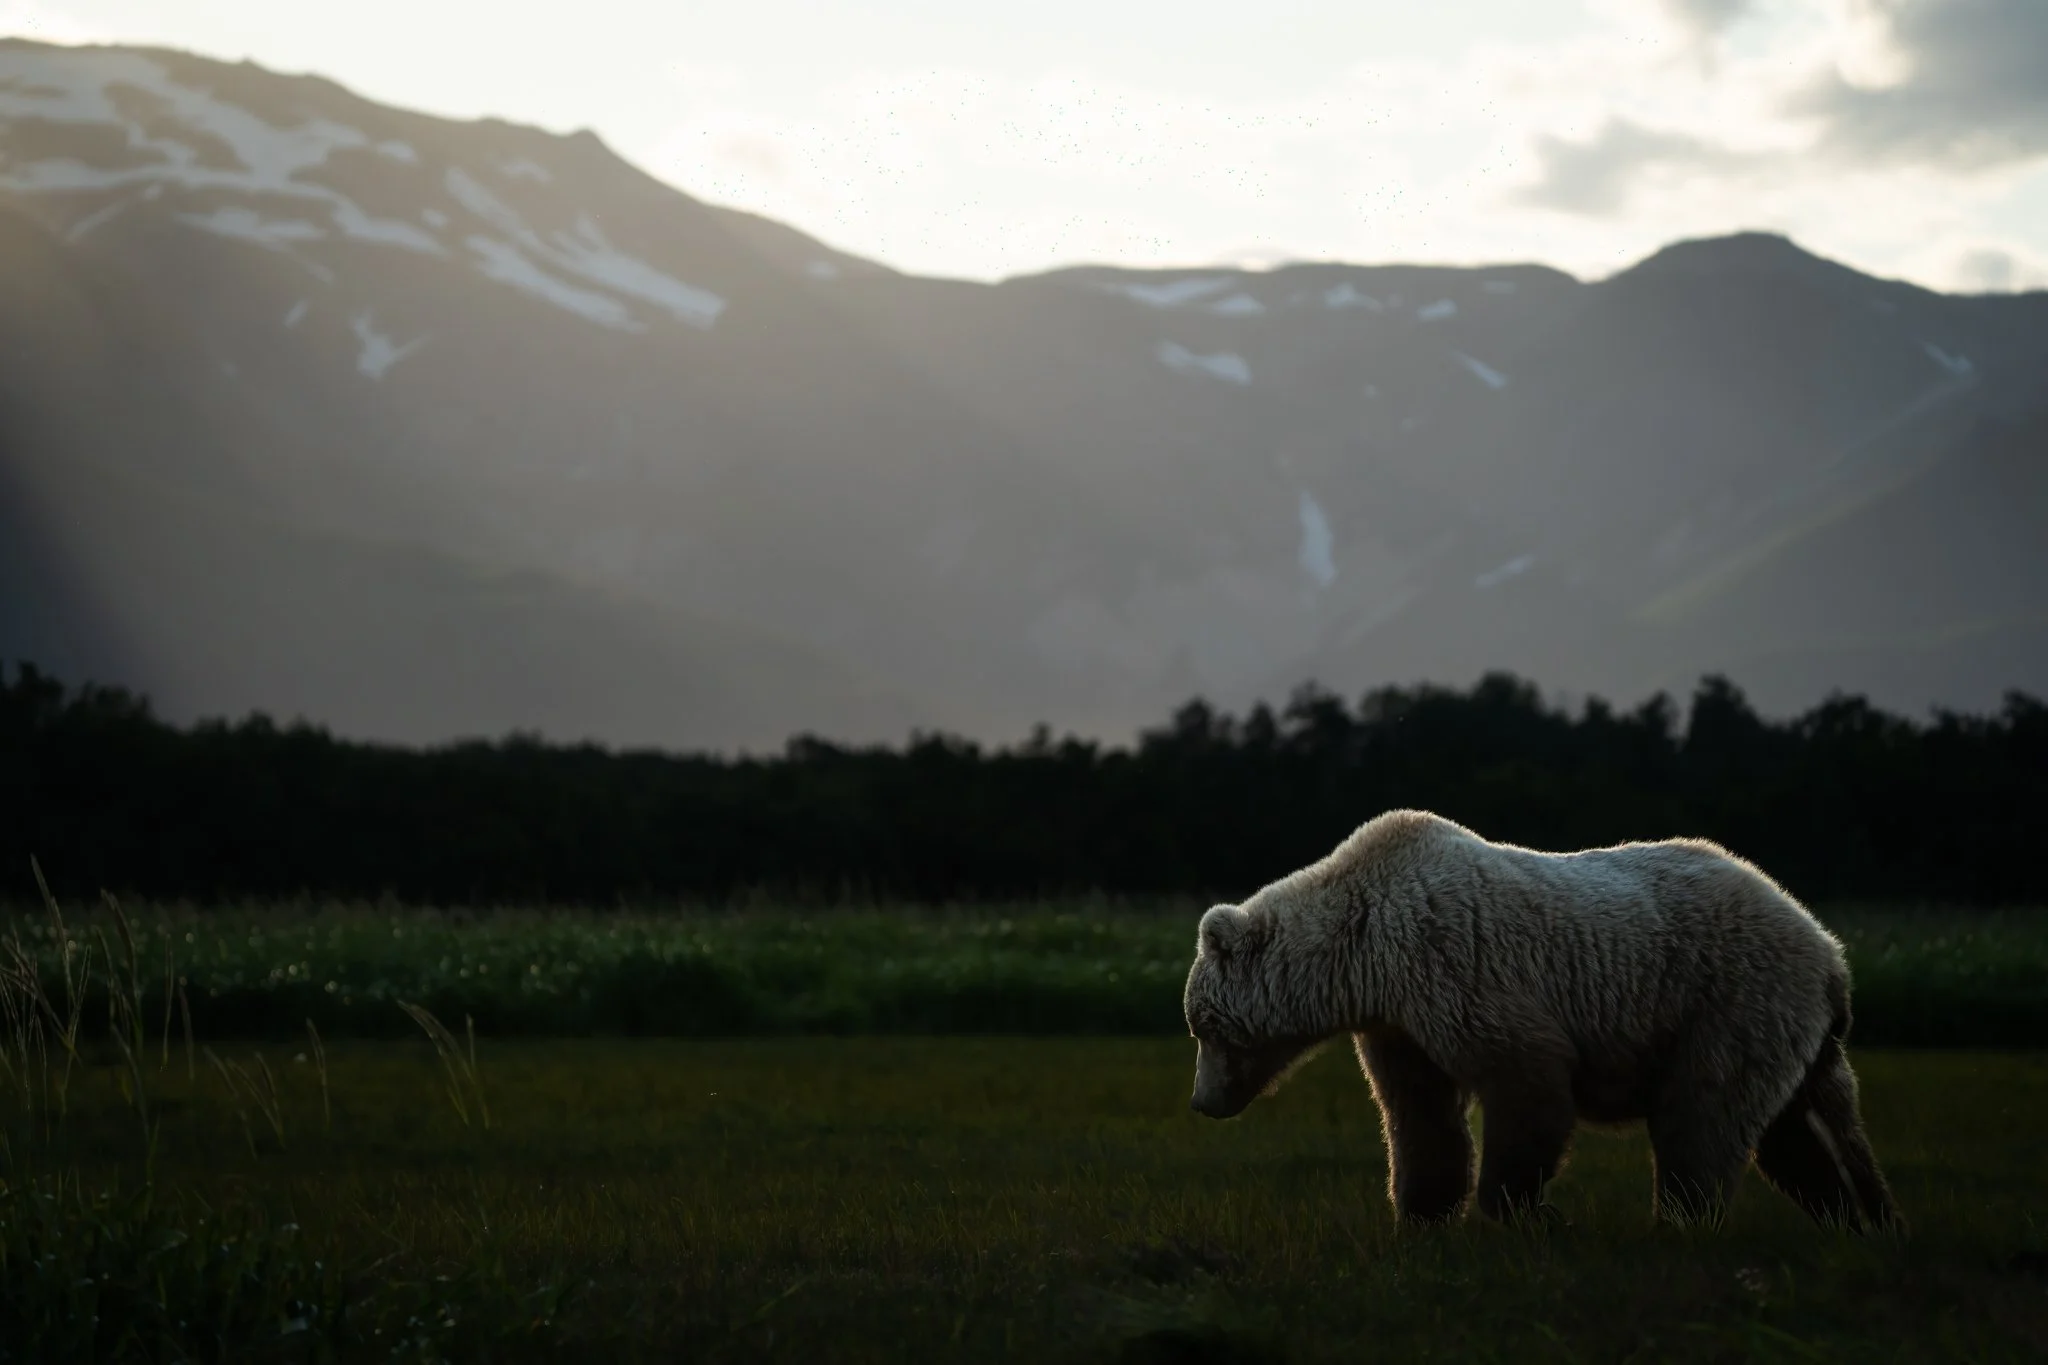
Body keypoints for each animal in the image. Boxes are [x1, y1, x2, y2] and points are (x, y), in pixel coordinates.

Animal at [1182, 808, 1901, 1231]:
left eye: (1204, 1027)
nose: (1200, 1101)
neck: (1363, 957)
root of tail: (1830, 950)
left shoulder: (1457, 967)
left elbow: (1526, 1081)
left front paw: (1514, 1208)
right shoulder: (1401, 1027)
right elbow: (1420, 1117)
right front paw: (1421, 1213)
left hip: (1725, 998)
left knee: (1703, 1117)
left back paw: (1679, 1221)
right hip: (1789, 1033)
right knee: (1800, 1131)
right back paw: (1854, 1216)